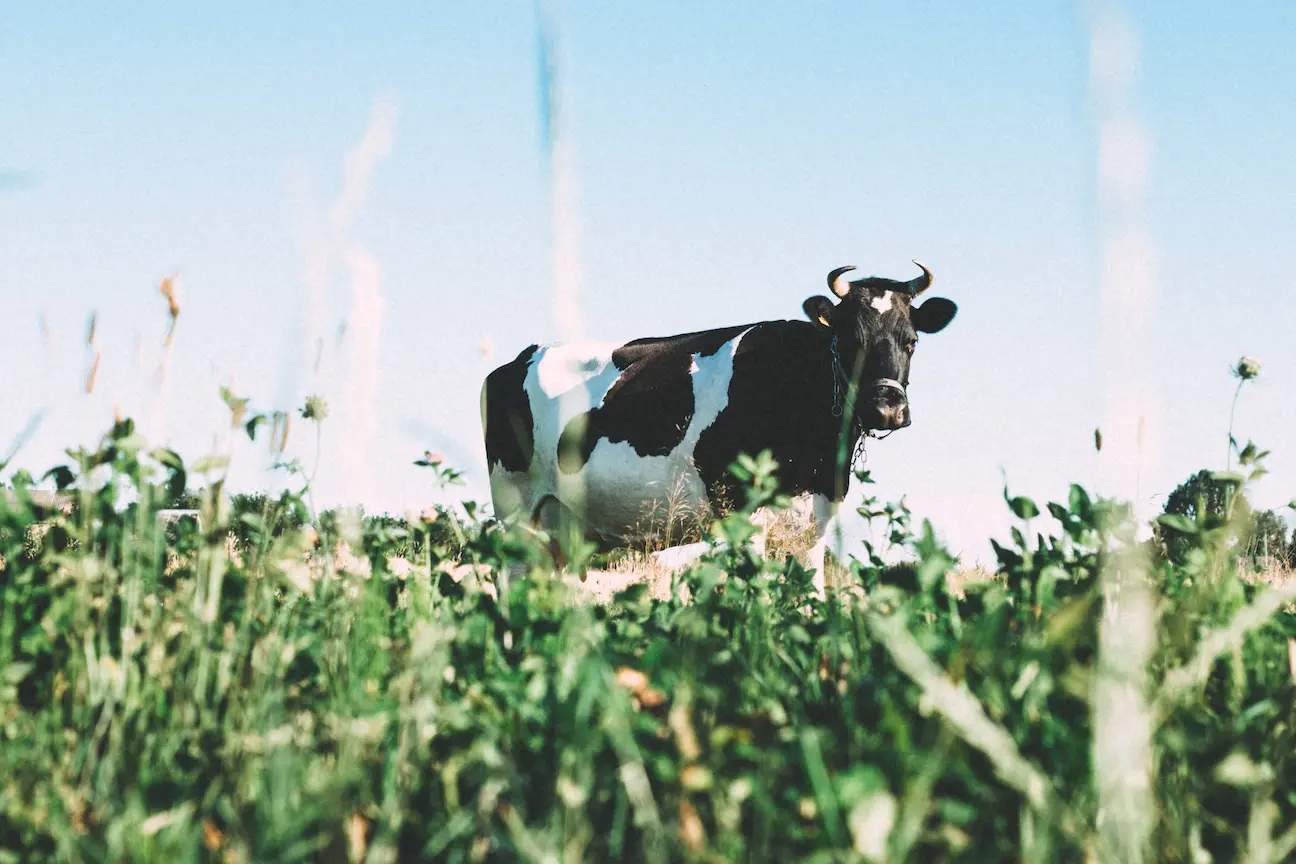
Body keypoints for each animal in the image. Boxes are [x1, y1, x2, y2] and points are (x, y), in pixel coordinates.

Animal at [482, 264, 959, 598]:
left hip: (561, 529)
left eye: (911, 340)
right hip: (516, 511)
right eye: (850, 341)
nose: (887, 408)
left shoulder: (815, 519)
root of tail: (516, 360)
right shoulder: (741, 510)